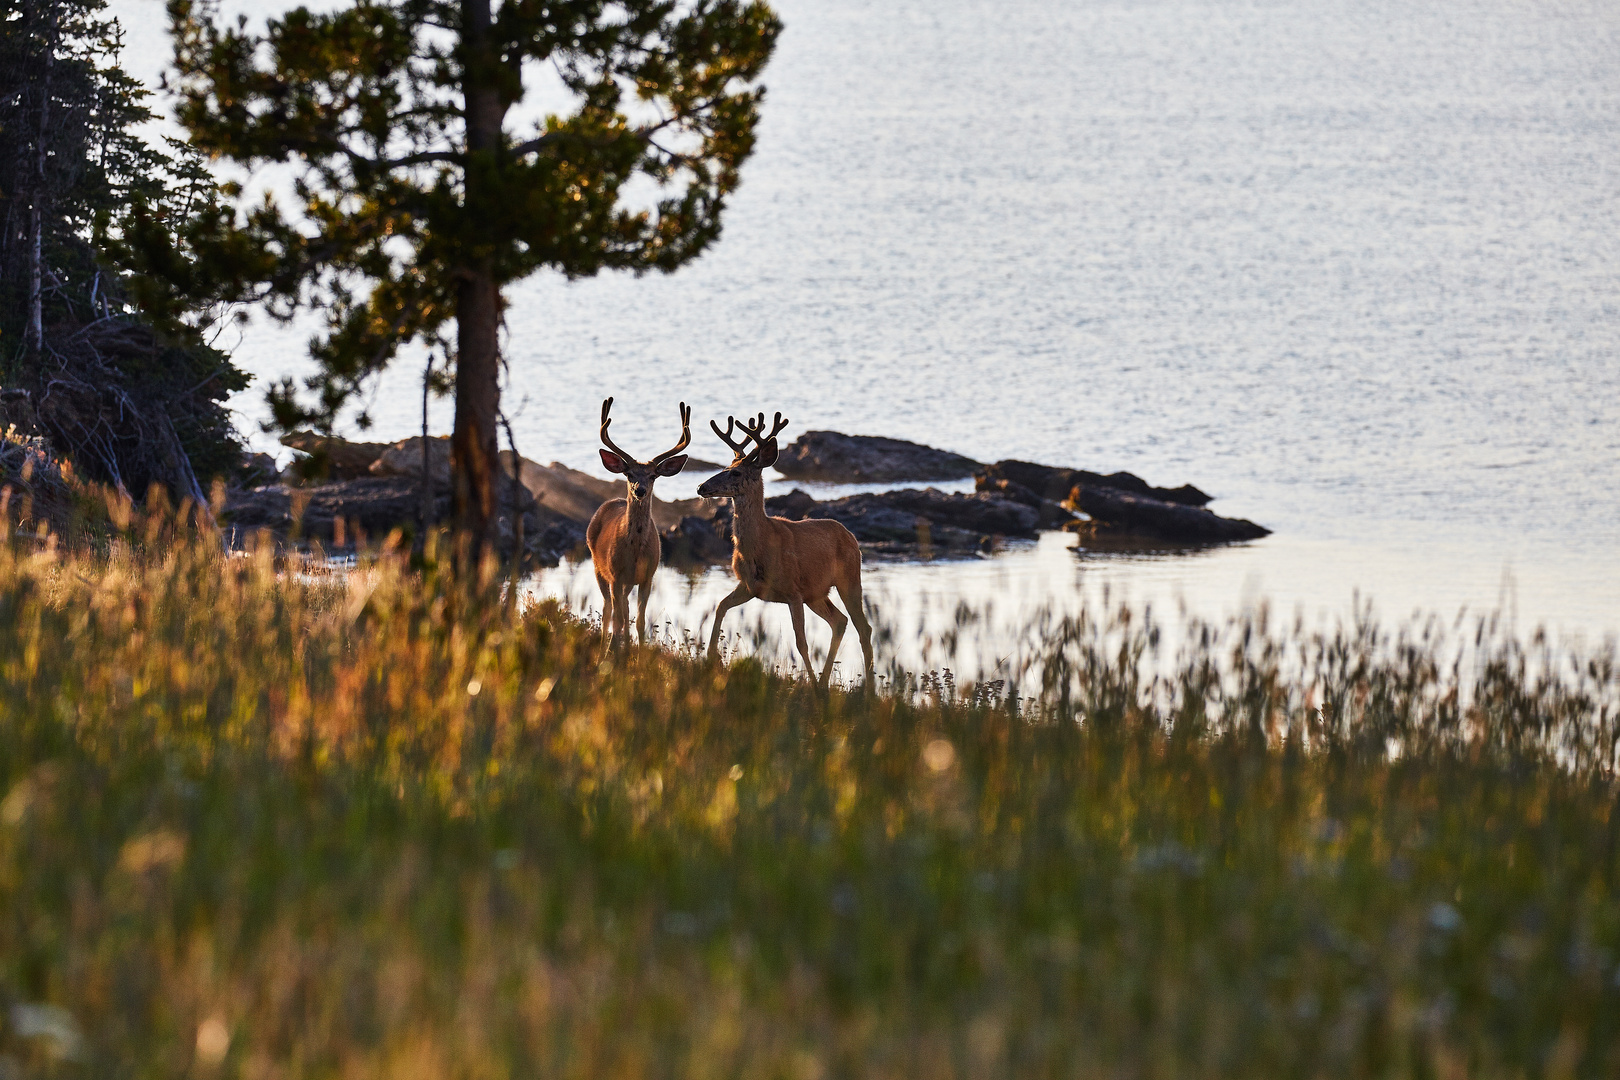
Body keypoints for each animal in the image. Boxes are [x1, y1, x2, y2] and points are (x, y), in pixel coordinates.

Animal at [583, 401, 690, 647]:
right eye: (629, 473)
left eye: (653, 475)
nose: (639, 490)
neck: (635, 551)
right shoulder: (615, 575)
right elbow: (617, 617)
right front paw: (613, 652)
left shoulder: (647, 576)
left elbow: (640, 621)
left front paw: (639, 653)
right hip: (598, 567)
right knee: (608, 610)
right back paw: (606, 647)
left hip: (626, 582)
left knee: (624, 608)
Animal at [696, 409, 874, 689]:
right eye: (725, 468)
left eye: (735, 473)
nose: (701, 487)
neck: (758, 546)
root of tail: (851, 536)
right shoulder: (749, 586)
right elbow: (720, 607)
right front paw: (711, 658)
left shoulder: (793, 591)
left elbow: (801, 643)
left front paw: (811, 685)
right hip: (816, 593)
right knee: (840, 621)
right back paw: (826, 682)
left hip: (849, 578)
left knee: (863, 627)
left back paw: (868, 689)